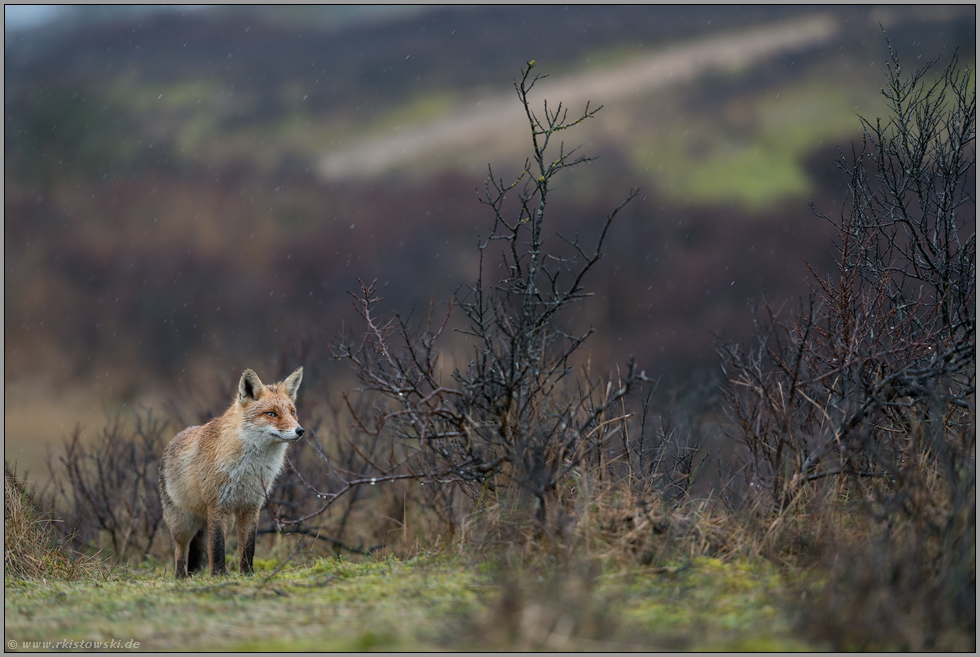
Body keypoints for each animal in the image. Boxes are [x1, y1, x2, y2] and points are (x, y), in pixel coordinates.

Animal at [159, 366, 304, 576]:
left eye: (292, 412)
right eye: (271, 414)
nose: (300, 430)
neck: (249, 469)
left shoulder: (251, 505)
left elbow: (248, 547)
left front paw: (247, 573)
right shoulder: (217, 505)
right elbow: (217, 546)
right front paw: (218, 574)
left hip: (225, 523)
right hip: (182, 523)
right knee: (181, 550)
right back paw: (180, 577)